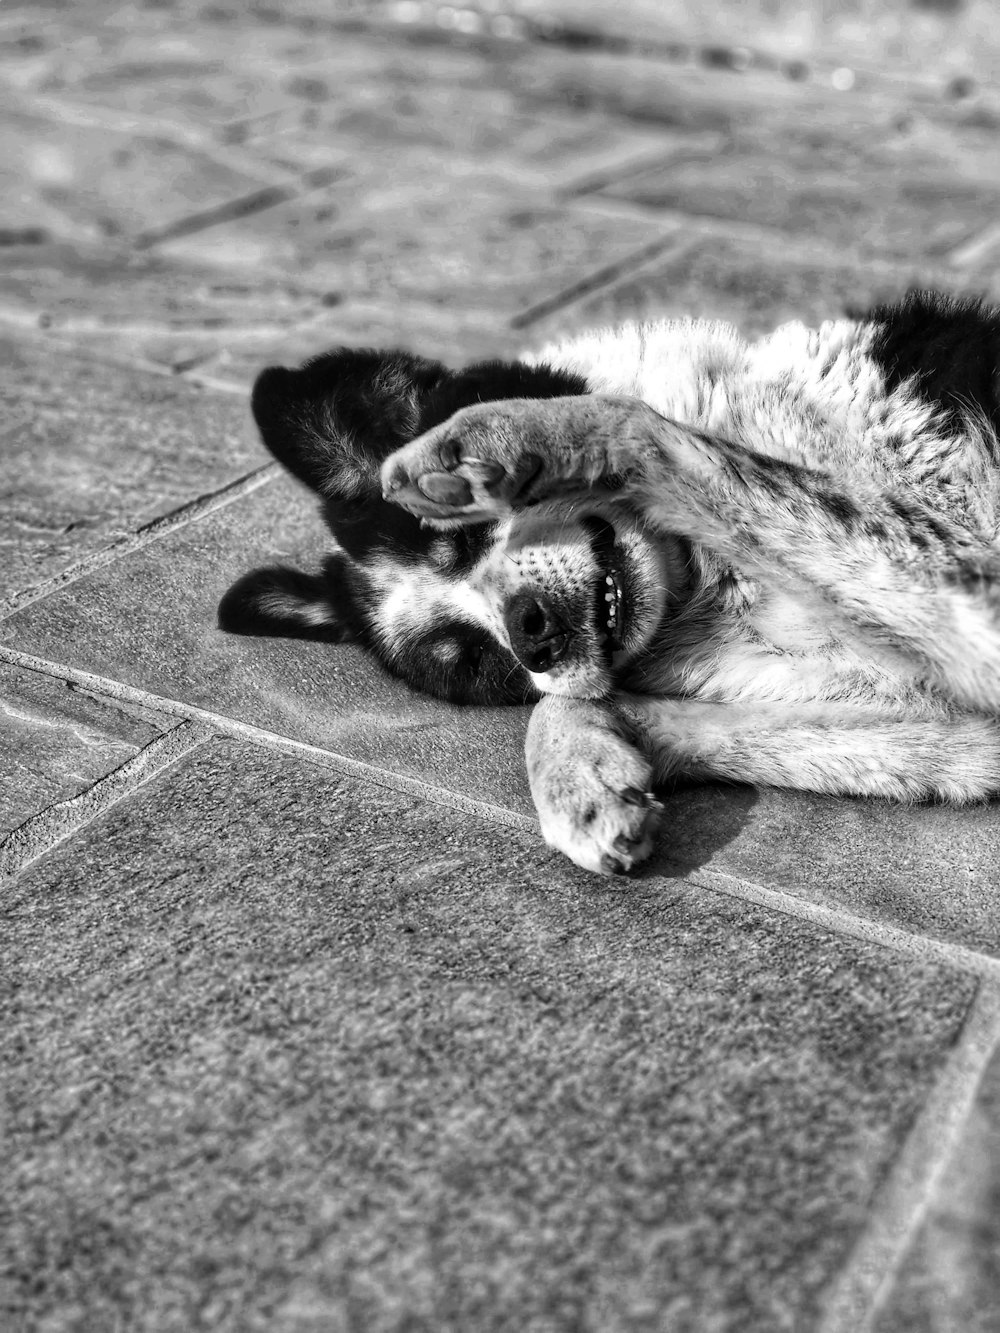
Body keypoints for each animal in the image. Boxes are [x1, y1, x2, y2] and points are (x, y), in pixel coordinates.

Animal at [221, 291, 1000, 874]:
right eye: (473, 659)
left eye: (460, 531)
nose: (533, 635)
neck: (709, 582)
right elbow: (570, 705)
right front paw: (584, 779)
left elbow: (634, 423)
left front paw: (516, 436)